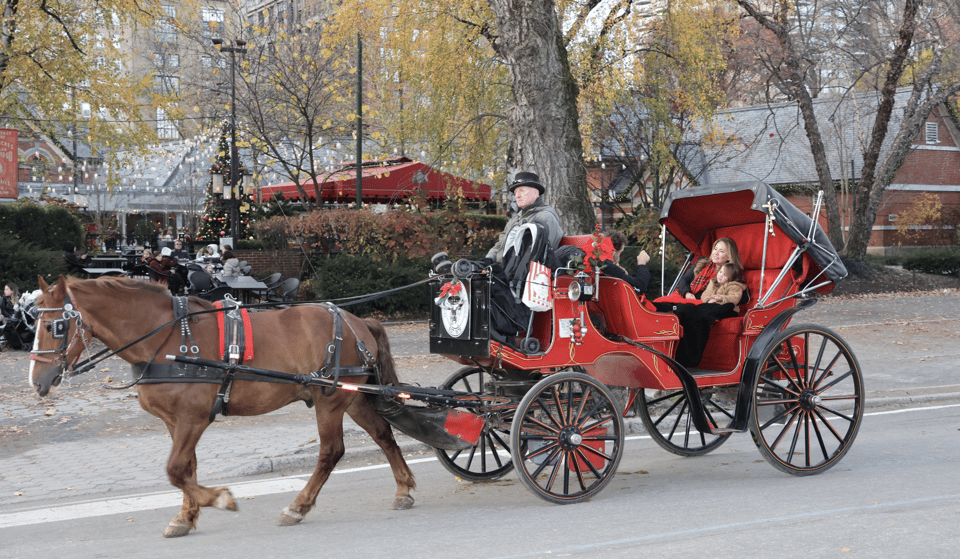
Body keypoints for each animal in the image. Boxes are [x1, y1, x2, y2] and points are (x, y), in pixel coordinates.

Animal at [29, 276, 412, 540]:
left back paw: (297, 507)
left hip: (329, 401)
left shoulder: (193, 419)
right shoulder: (175, 423)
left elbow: (175, 470)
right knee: (383, 435)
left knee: (331, 452)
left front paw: (220, 499)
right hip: (354, 397)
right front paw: (185, 517)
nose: (36, 381)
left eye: (55, 325)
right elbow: (187, 469)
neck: (168, 339)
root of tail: (355, 321)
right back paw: (404, 488)